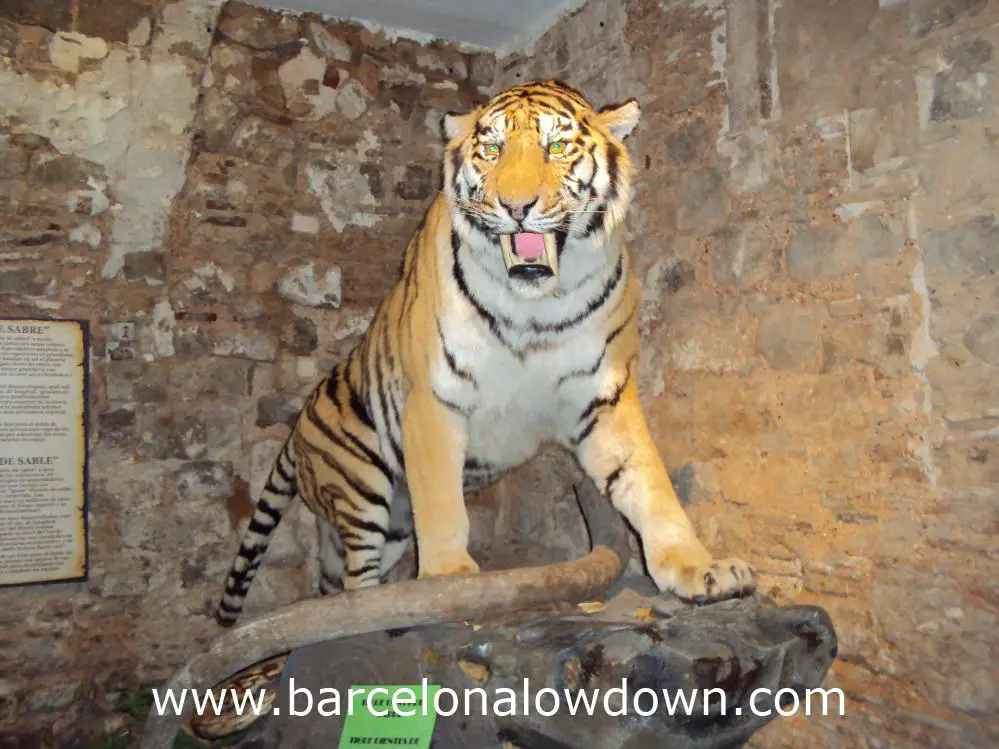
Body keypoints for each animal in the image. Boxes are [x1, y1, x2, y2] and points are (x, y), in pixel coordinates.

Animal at [207, 79, 752, 716]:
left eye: (558, 146)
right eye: (490, 150)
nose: (517, 207)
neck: (535, 306)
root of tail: (294, 432)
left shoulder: (607, 397)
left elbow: (651, 486)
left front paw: (700, 570)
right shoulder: (433, 400)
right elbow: (444, 504)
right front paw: (450, 580)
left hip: (387, 526)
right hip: (362, 491)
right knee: (356, 583)